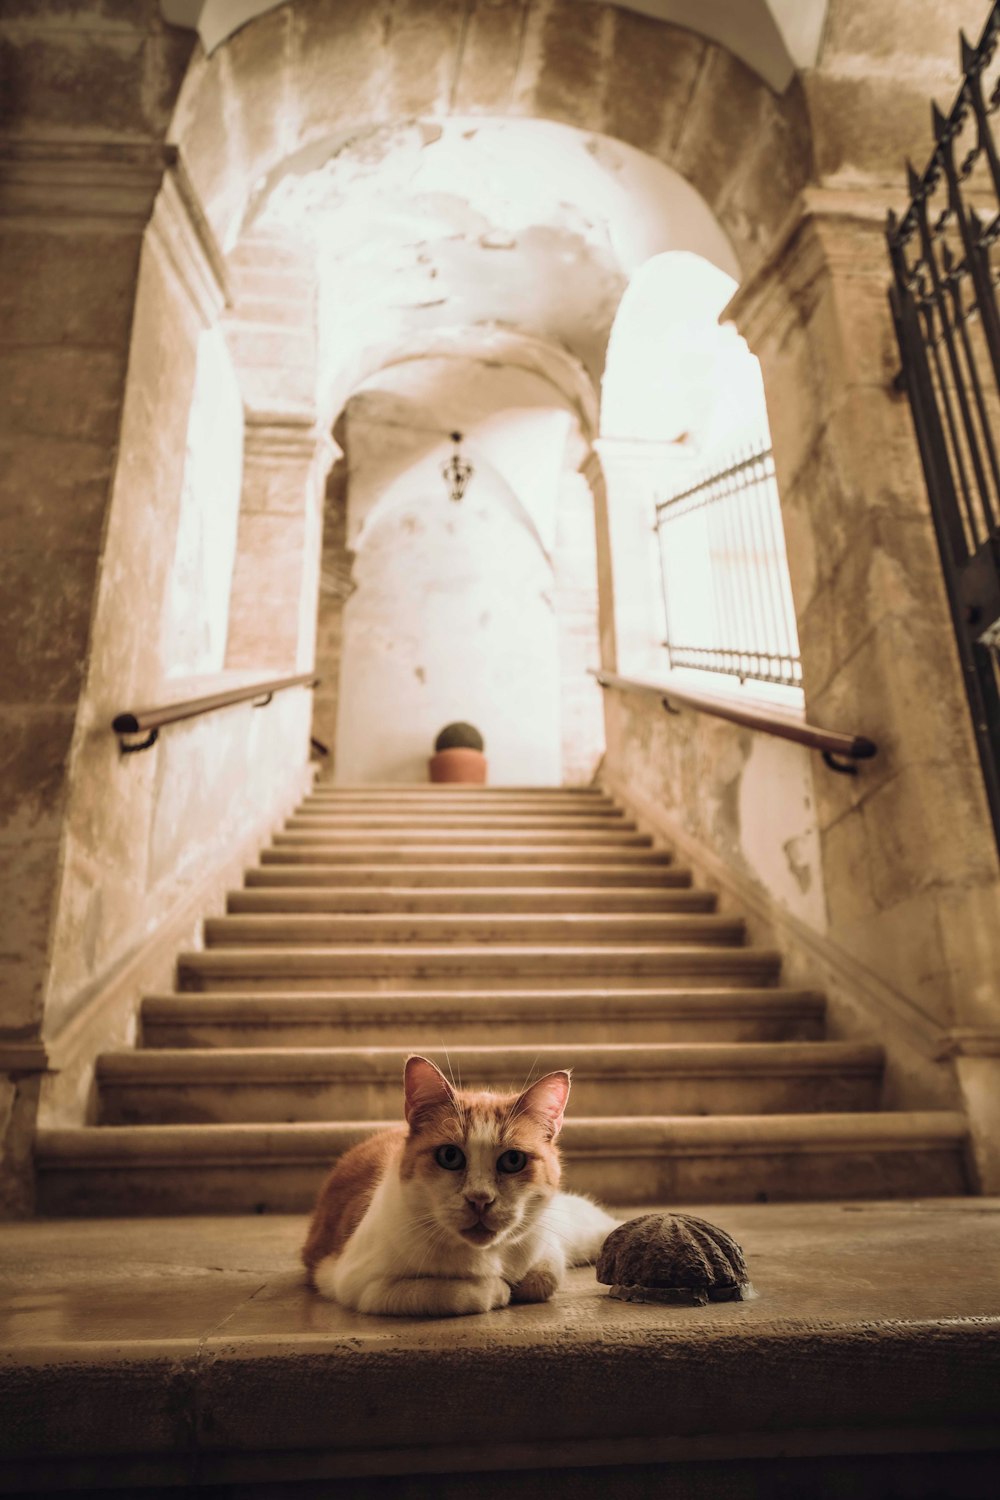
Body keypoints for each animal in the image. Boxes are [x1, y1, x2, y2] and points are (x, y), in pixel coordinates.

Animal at [301, 1056, 620, 1314]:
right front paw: (498, 1290)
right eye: (450, 1156)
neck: (487, 1255)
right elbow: (449, 1293)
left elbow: (546, 1274)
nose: (480, 1199)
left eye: (513, 1160)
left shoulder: (545, 1240)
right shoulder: (360, 1286)